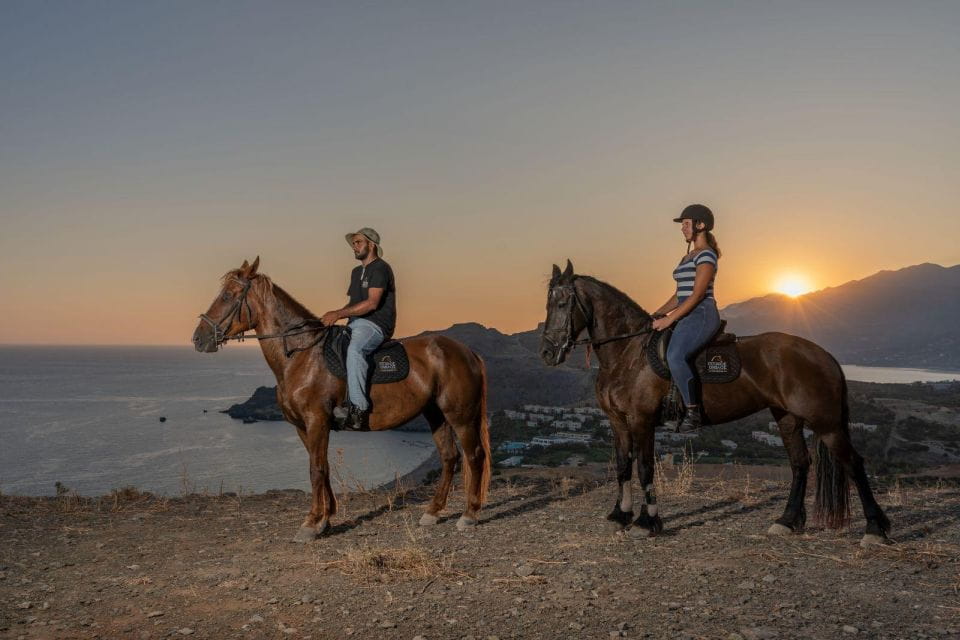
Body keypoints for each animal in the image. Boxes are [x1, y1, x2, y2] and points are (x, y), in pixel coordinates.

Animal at [192, 257, 491, 541]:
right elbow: (321, 467)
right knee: (449, 457)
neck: (301, 355)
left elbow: (316, 470)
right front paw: (325, 519)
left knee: (474, 455)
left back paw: (469, 515)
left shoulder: (316, 421)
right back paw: (432, 512)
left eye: (228, 295)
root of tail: (468, 352)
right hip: (436, 414)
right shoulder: (303, 426)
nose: (198, 338)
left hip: (460, 416)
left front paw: (311, 524)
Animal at [539, 260, 890, 547]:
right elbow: (623, 466)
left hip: (825, 422)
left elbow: (644, 467)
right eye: (547, 303)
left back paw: (875, 529)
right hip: (788, 417)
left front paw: (647, 522)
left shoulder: (642, 420)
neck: (628, 353)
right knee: (800, 464)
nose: (547, 353)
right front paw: (620, 516)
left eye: (563, 302)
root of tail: (824, 355)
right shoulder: (617, 421)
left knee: (853, 463)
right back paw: (787, 522)